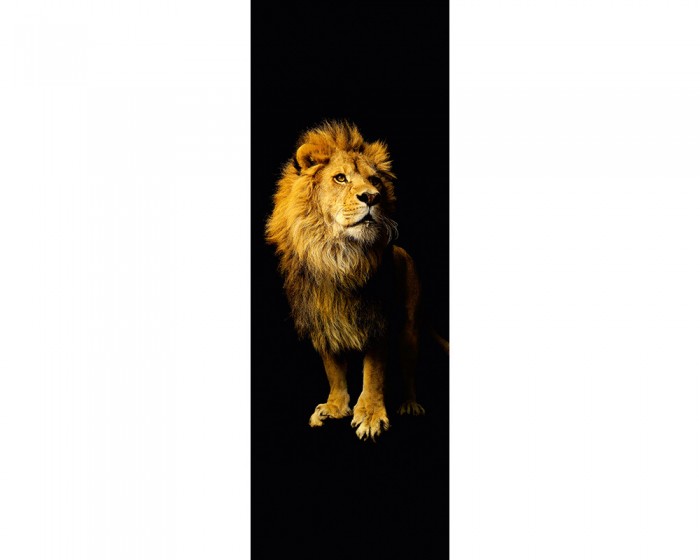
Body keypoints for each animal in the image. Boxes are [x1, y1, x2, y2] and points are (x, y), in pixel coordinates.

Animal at [265, 120, 445, 440]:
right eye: (340, 178)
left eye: (375, 181)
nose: (372, 197)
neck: (337, 256)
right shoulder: (322, 321)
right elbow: (333, 370)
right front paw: (334, 407)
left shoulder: (377, 319)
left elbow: (373, 373)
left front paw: (371, 416)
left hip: (410, 329)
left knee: (409, 370)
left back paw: (410, 404)